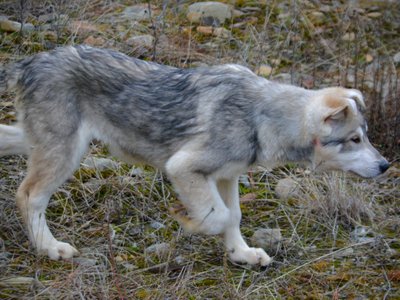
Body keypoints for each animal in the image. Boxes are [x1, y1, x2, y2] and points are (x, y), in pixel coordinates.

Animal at [0, 45, 390, 266]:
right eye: (354, 139)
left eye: (367, 136)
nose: (386, 165)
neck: (261, 116)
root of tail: (27, 63)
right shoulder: (183, 168)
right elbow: (218, 216)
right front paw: (189, 222)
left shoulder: (226, 176)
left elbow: (234, 216)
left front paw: (241, 255)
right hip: (66, 153)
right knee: (29, 195)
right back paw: (49, 248)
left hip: (39, 143)